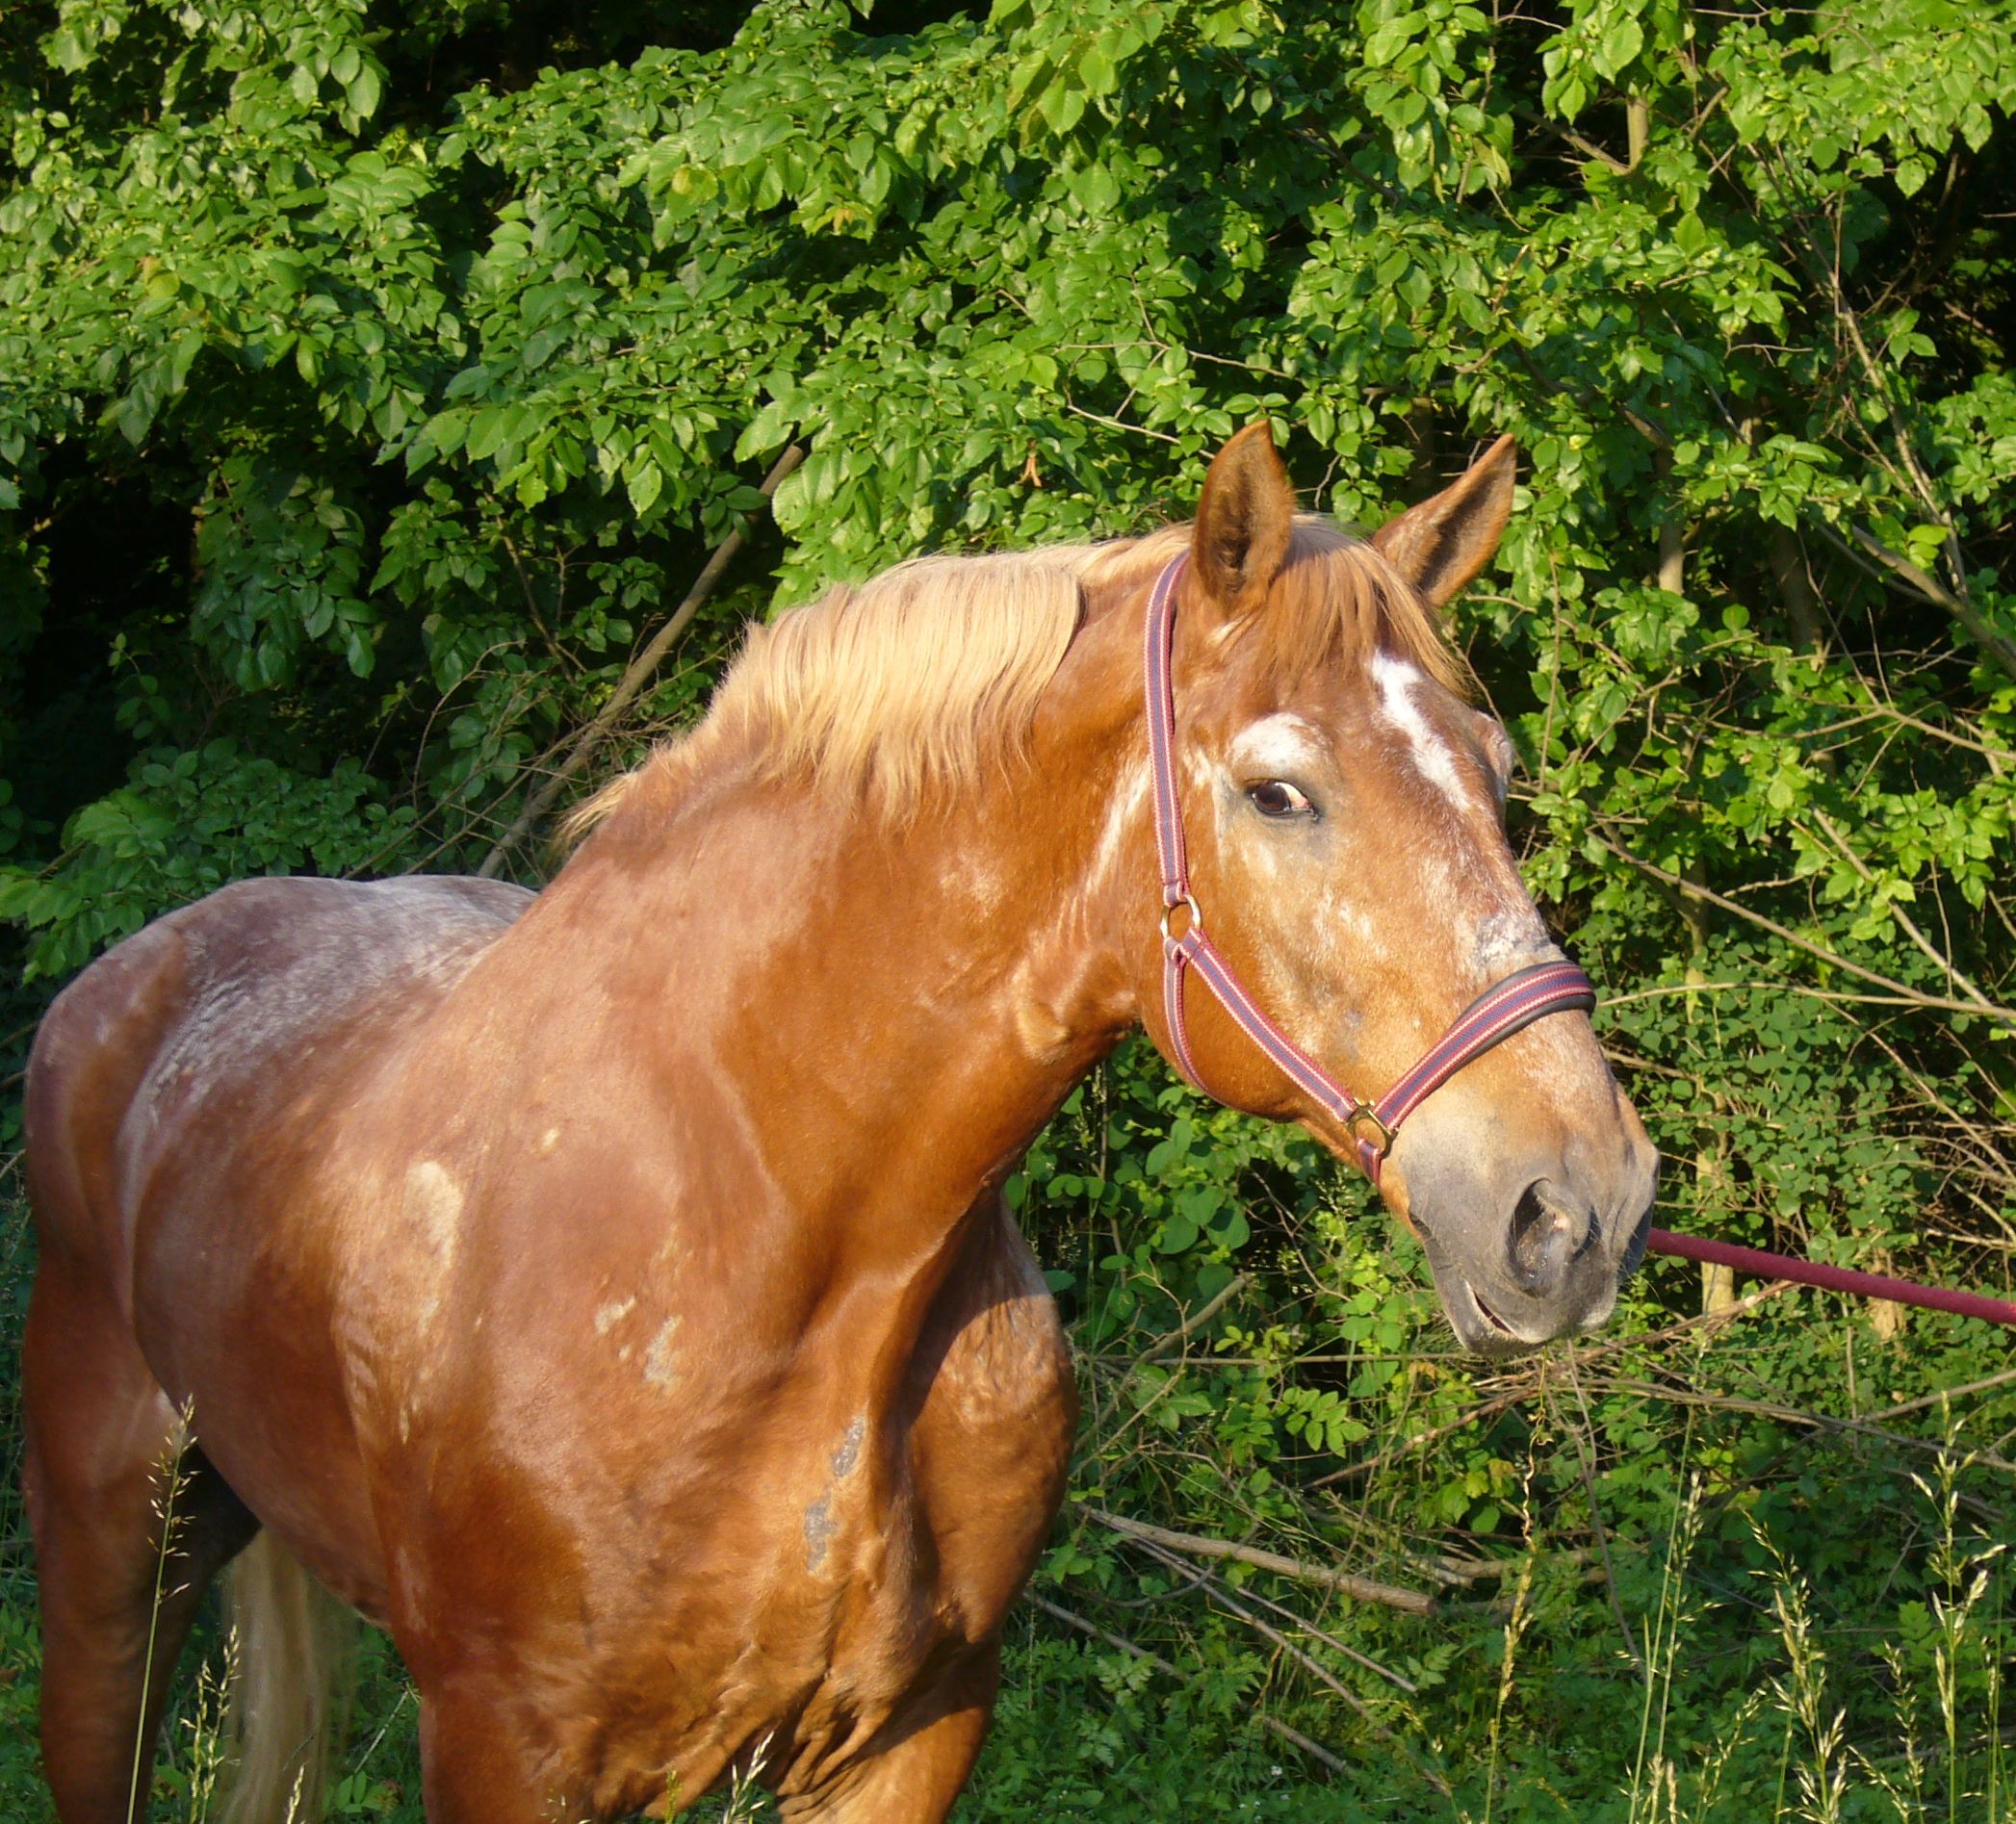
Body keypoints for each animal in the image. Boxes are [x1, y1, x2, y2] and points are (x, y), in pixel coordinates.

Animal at [23, 423, 1653, 1806]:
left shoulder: (907, 1736)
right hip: (107, 1581)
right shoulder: (503, 1748)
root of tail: (135, 975)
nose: (1580, 1204)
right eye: (1278, 792)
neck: (764, 1242)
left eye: (1499, 774)